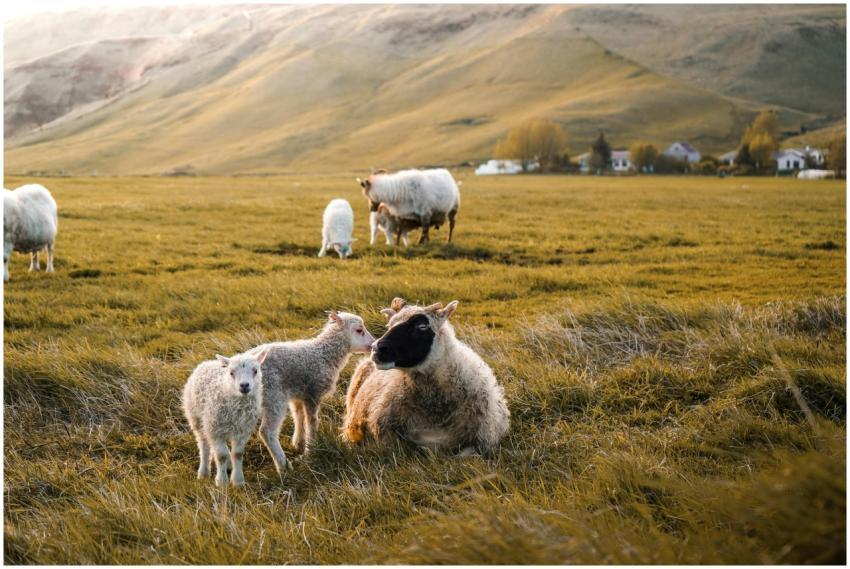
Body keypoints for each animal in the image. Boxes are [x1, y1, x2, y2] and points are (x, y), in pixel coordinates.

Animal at [182, 348, 269, 487]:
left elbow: (237, 454)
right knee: (203, 445)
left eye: (255, 370)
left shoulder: (242, 431)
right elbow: (221, 455)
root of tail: (207, 362)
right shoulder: (215, 430)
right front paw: (222, 482)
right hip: (197, 418)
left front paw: (238, 481)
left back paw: (228, 466)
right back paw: (203, 472)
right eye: (231, 372)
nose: (244, 385)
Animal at [249, 311, 376, 474]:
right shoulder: (312, 392)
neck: (325, 354)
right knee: (267, 432)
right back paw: (284, 467)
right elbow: (312, 421)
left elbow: (299, 416)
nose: (374, 344)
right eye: (359, 330)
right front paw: (311, 449)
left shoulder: (298, 393)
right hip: (273, 395)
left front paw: (298, 442)